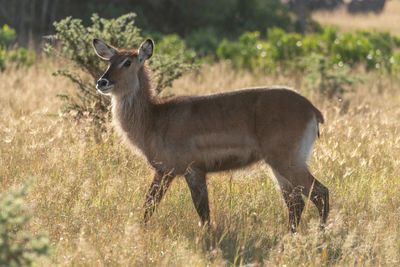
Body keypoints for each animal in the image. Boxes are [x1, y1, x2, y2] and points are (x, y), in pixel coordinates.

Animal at [93, 38, 328, 232]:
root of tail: (313, 110)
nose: (102, 82)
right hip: (279, 166)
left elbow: (202, 212)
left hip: (288, 162)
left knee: (320, 193)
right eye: (109, 61)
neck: (154, 117)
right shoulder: (164, 172)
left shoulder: (192, 170)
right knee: (296, 203)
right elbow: (148, 206)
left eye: (127, 62)